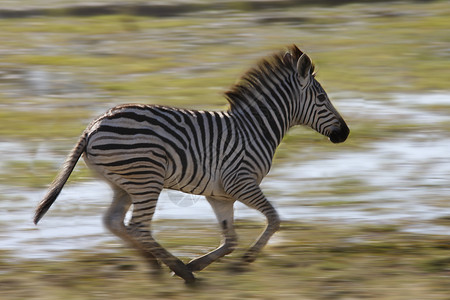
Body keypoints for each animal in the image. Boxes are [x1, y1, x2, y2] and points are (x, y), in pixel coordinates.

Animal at [34, 43, 348, 282]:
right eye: (322, 97)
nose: (344, 134)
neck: (255, 128)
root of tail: (93, 126)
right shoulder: (241, 182)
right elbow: (274, 219)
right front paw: (244, 261)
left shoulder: (220, 195)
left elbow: (230, 240)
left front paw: (204, 263)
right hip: (146, 179)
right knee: (138, 227)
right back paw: (179, 271)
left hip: (123, 184)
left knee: (114, 222)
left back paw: (155, 266)